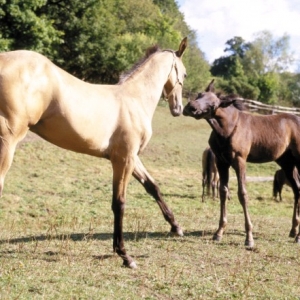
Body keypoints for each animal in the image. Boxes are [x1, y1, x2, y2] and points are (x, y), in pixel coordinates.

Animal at [0, 36, 188, 268]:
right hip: (8, 141)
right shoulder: (124, 159)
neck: (134, 99)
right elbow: (119, 203)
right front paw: (124, 255)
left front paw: (176, 226)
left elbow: (152, 187)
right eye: (184, 74)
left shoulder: (130, 157)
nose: (178, 109)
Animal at [183, 79, 300, 246]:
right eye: (200, 94)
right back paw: (294, 231)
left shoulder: (240, 160)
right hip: (286, 162)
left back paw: (297, 235)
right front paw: (219, 232)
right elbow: (223, 191)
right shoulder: (221, 162)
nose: (190, 107)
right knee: (297, 190)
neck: (227, 129)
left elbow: (242, 193)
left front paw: (249, 238)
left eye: (213, 104)